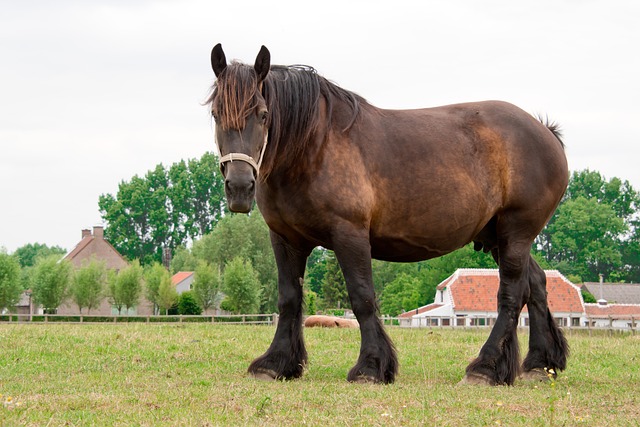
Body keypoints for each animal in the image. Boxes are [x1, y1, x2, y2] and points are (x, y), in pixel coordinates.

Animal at [208, 44, 568, 388]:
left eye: (263, 114)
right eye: (215, 113)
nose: (239, 186)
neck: (314, 146)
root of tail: (546, 132)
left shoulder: (349, 234)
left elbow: (362, 297)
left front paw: (371, 366)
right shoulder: (285, 239)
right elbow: (289, 299)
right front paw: (275, 363)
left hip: (515, 232)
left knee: (512, 294)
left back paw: (486, 368)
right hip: (497, 237)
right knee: (536, 284)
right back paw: (540, 363)